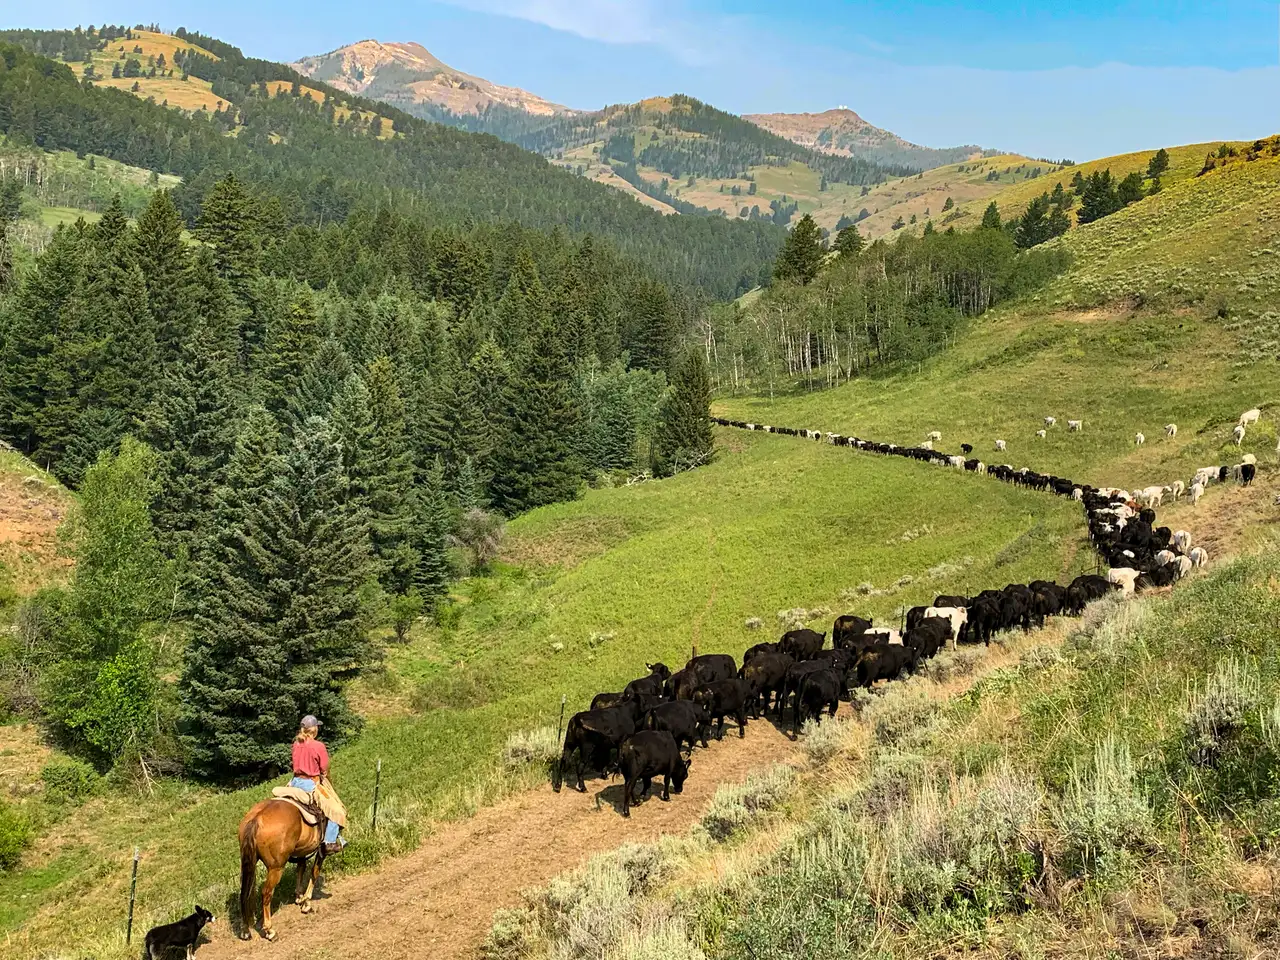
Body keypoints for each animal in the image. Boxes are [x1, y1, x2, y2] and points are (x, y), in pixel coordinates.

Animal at [239, 798, 330, 942]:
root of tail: (256, 820)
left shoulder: (301, 851)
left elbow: (301, 869)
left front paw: (299, 897)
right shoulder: (321, 851)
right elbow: (314, 872)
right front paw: (306, 903)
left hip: (249, 863)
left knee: (246, 893)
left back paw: (246, 930)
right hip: (276, 868)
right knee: (266, 893)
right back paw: (270, 931)